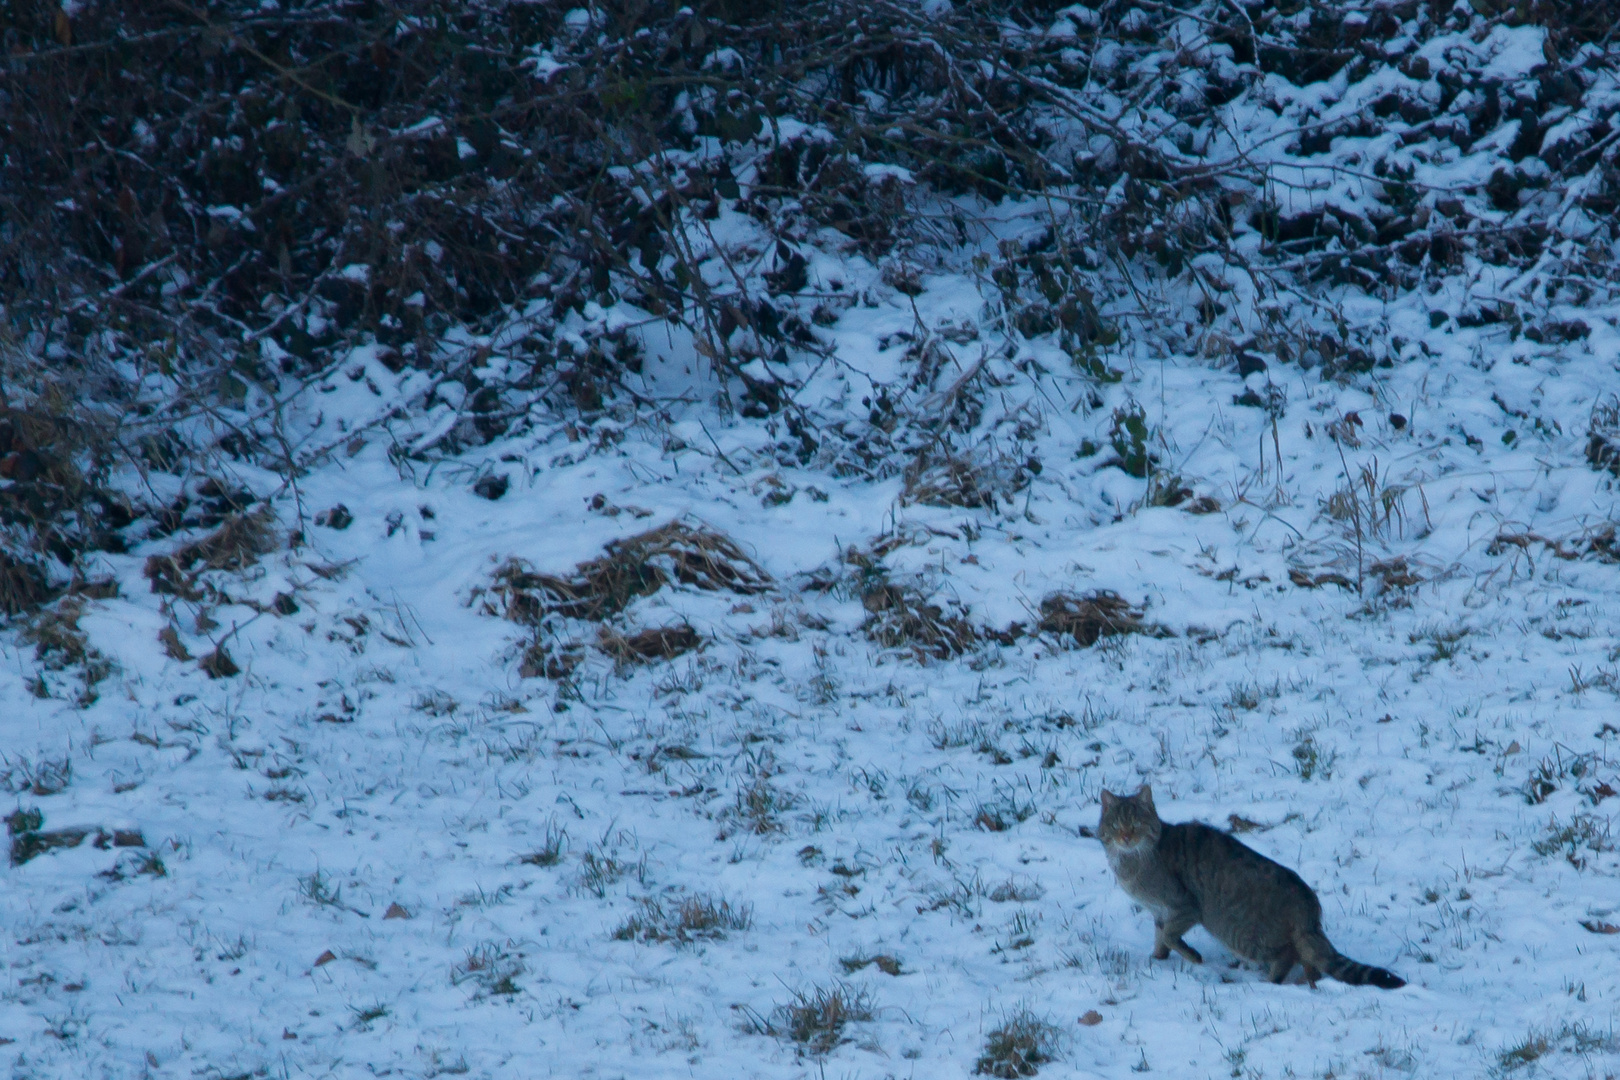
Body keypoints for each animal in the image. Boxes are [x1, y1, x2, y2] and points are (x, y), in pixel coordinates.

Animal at [1101, 786, 1406, 990]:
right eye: (1115, 824)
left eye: (1136, 824)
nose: (1125, 837)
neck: (1131, 862)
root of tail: (1308, 904)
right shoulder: (1159, 911)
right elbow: (1160, 937)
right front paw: (1157, 959)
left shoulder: (1184, 906)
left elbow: (1169, 936)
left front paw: (1191, 956)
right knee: (1309, 961)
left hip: (1239, 932)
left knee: (1287, 955)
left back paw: (1270, 982)